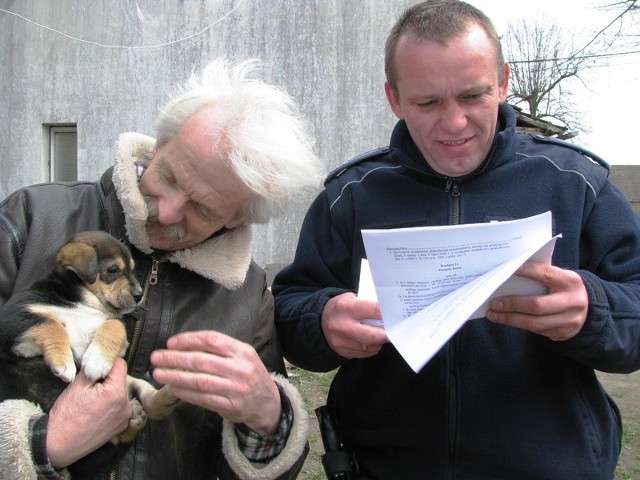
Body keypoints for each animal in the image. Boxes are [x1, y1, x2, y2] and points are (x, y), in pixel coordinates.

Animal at [0, 232, 178, 472]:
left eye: (132, 269)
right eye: (113, 270)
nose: (139, 295)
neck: (83, 302)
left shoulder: (108, 325)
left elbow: (115, 324)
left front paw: (97, 360)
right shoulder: (14, 320)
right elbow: (49, 323)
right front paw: (64, 363)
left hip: (130, 382)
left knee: (149, 401)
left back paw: (165, 397)